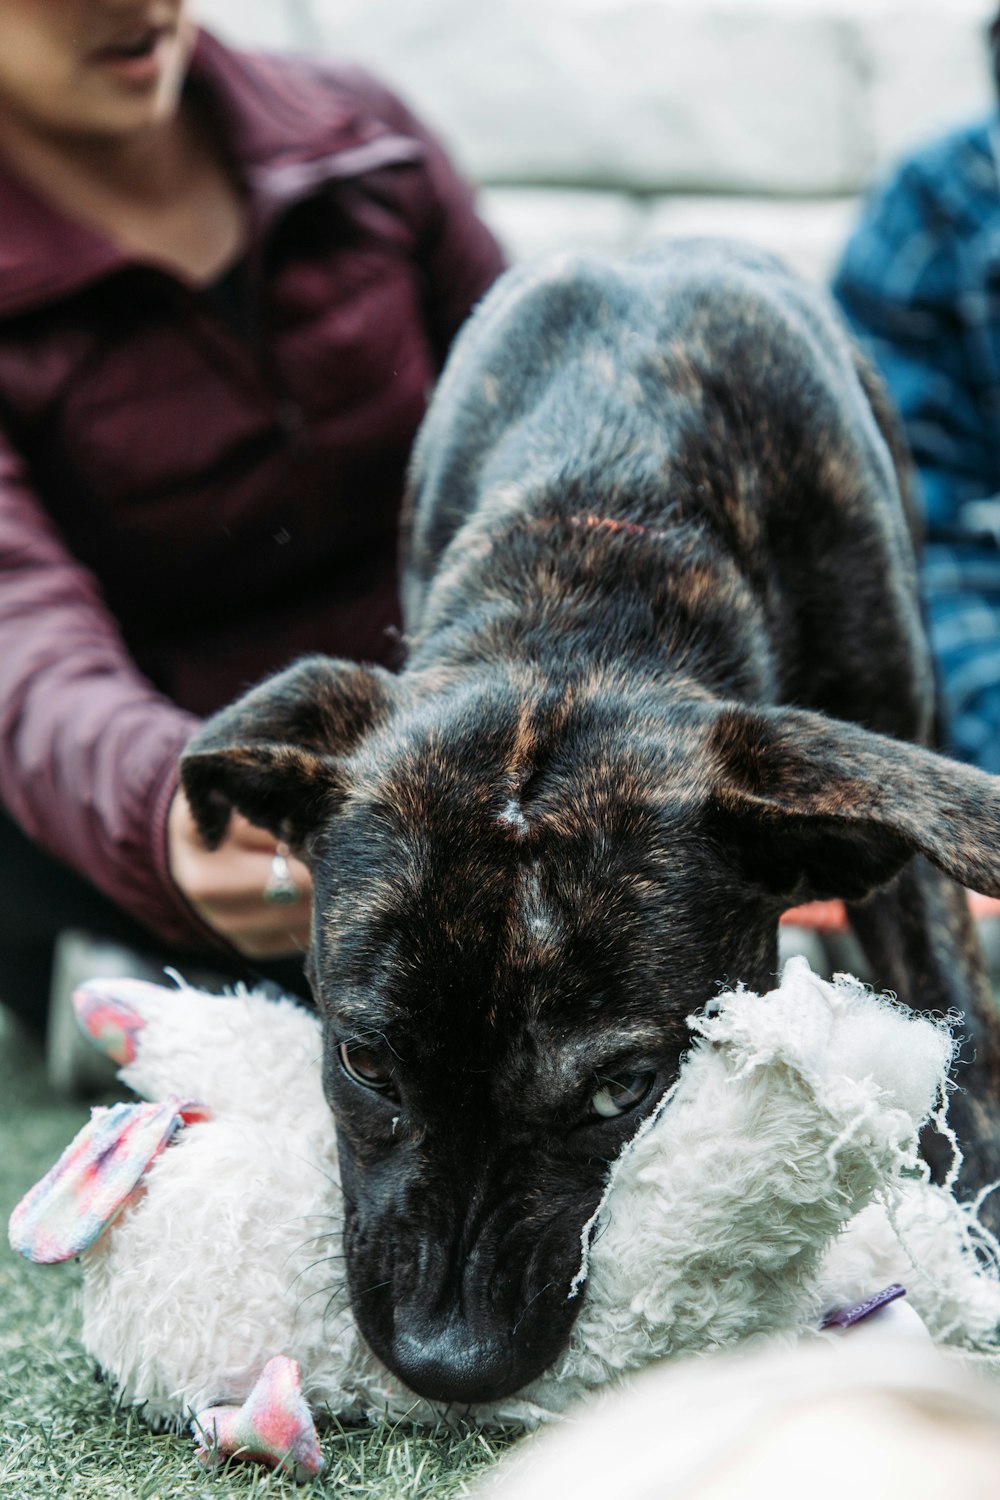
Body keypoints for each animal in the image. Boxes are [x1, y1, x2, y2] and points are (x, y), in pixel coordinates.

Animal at [183, 243, 1000, 1404]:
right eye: (364, 1062)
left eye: (623, 1091)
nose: (447, 1363)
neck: (602, 553)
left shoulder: (896, 776)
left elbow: (955, 1056)